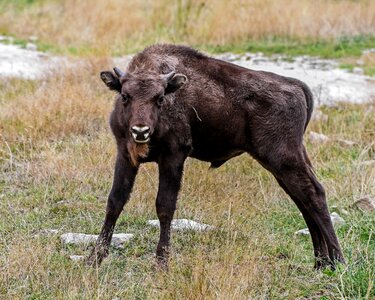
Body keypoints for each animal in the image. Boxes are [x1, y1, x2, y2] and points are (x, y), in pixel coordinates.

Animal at [86, 44, 346, 270]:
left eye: (159, 98)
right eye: (125, 96)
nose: (140, 131)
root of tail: (297, 86)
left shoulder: (173, 158)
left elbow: (164, 206)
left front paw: (161, 263)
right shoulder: (125, 156)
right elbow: (115, 202)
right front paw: (94, 259)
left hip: (285, 159)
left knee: (313, 194)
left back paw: (337, 262)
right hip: (282, 163)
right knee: (302, 199)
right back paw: (321, 263)